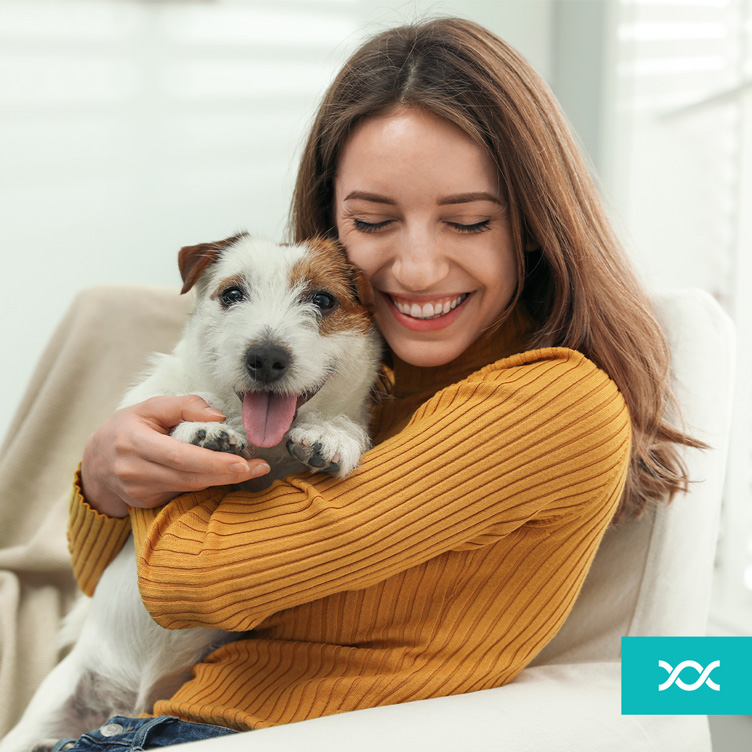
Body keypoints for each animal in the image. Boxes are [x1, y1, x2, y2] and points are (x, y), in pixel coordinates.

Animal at [2, 232, 382, 748]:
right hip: (52, 707)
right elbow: (186, 404)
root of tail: (128, 705)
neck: (264, 443)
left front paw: (332, 434)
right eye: (232, 294)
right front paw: (203, 429)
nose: (265, 358)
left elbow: (341, 426)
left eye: (322, 300)